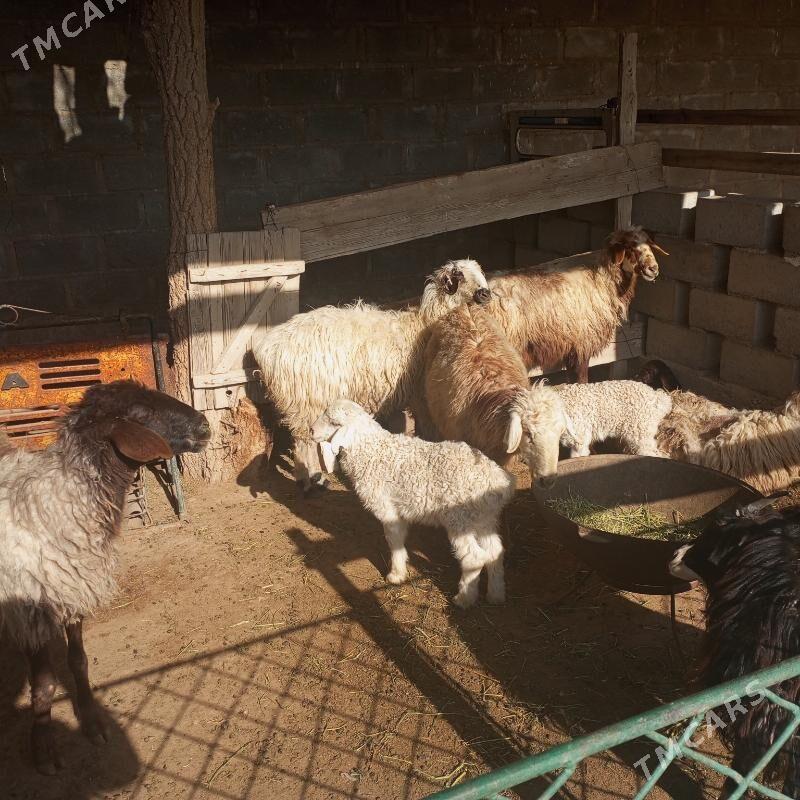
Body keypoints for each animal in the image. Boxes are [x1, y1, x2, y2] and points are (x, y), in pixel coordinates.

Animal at [0, 381, 210, 774]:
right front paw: (44, 745)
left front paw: (92, 719)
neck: (61, 500)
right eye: (141, 413)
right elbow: (44, 683)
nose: (204, 425)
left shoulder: (73, 588)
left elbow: (78, 661)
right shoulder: (32, 608)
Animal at [253, 259, 491, 493]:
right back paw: (310, 480)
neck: (424, 325)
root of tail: (267, 348)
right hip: (308, 399)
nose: (485, 293)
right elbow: (428, 430)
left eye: (479, 271)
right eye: (459, 275)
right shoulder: (422, 396)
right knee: (304, 441)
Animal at [311, 399, 515, 608]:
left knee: (474, 557)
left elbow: (393, 540)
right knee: (495, 552)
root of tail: (498, 479)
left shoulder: (388, 510)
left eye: (334, 423)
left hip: (460, 519)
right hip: (484, 518)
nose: (311, 430)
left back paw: (464, 598)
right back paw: (496, 595)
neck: (372, 452)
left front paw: (395, 575)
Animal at [488, 227, 667, 383]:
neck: (601, 280)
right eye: (630, 247)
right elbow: (582, 380)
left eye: (649, 245)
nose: (653, 269)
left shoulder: (572, 349)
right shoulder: (583, 343)